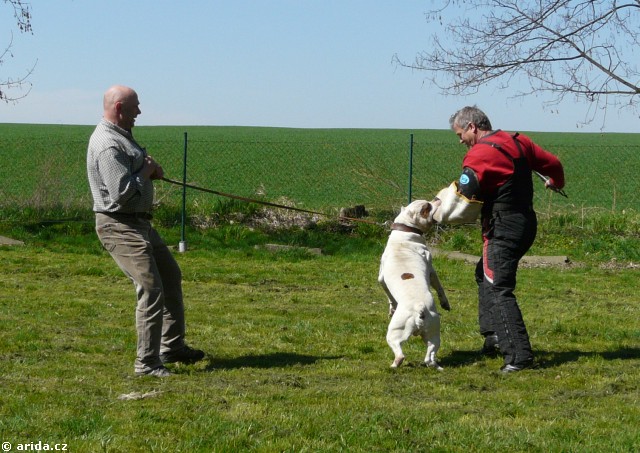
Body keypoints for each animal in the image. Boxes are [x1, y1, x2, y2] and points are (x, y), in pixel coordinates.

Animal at [378, 199, 450, 369]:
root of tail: (419, 307)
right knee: (428, 354)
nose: (437, 199)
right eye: (427, 207)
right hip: (431, 333)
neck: (404, 233)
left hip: (396, 331)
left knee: (404, 354)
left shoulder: (381, 278)